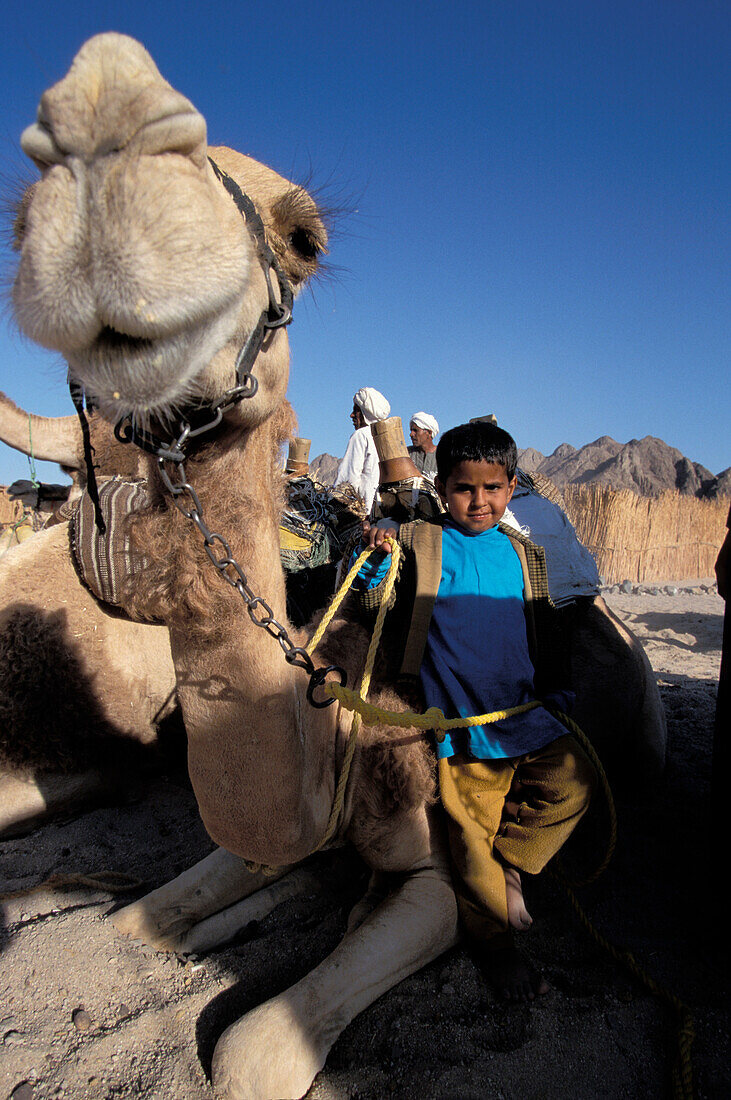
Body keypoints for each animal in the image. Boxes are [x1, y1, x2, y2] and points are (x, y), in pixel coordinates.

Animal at [5, 30, 668, 1095]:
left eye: (307, 238)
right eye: (21, 220)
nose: (108, 111)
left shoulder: (441, 877)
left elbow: (248, 1052)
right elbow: (132, 922)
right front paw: (231, 908)